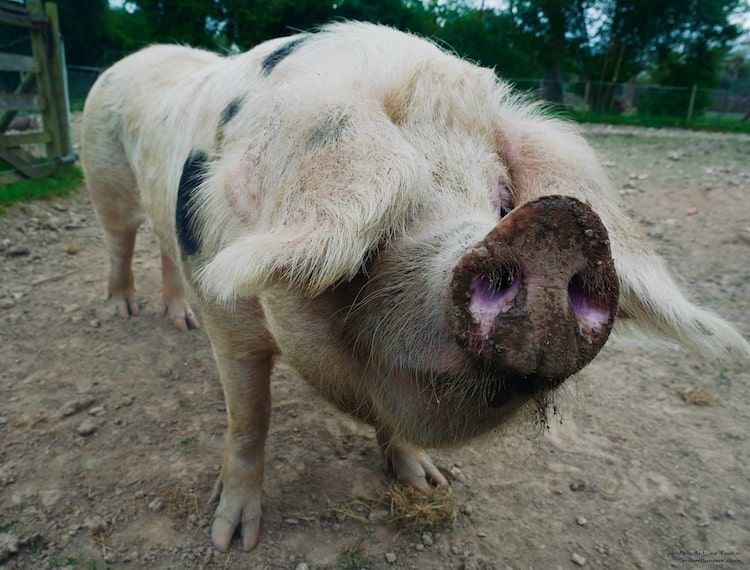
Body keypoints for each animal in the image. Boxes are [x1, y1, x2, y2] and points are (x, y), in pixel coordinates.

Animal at [80, 22, 750, 552]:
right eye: (391, 211)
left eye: (503, 198)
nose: (556, 225)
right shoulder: (230, 322)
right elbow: (250, 419)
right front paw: (232, 540)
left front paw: (429, 482)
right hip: (103, 176)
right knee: (120, 240)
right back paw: (121, 312)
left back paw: (177, 319)